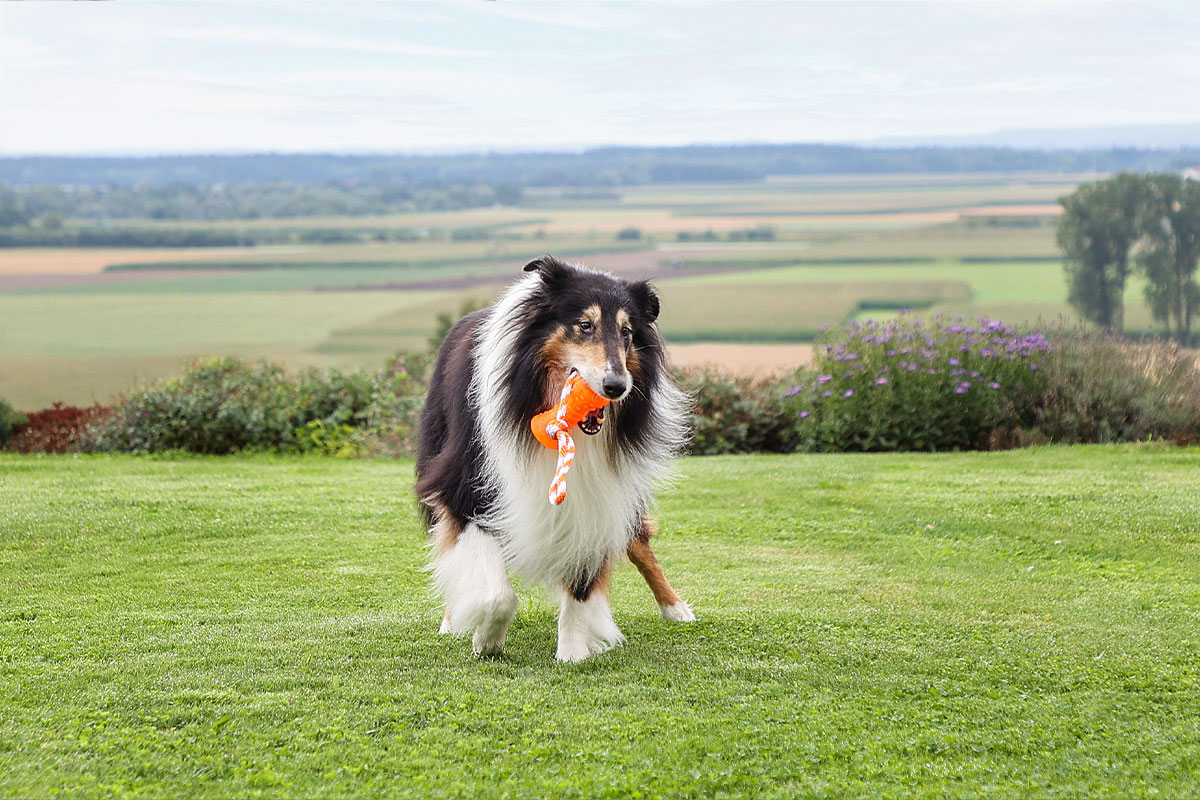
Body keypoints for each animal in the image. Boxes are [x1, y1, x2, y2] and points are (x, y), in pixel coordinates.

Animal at [415, 256, 691, 662]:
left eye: (626, 331)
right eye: (585, 325)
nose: (616, 387)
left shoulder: (596, 498)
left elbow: (581, 585)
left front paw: (572, 652)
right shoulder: (467, 487)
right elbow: (497, 593)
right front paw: (487, 639)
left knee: (639, 540)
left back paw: (676, 608)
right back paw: (452, 620)